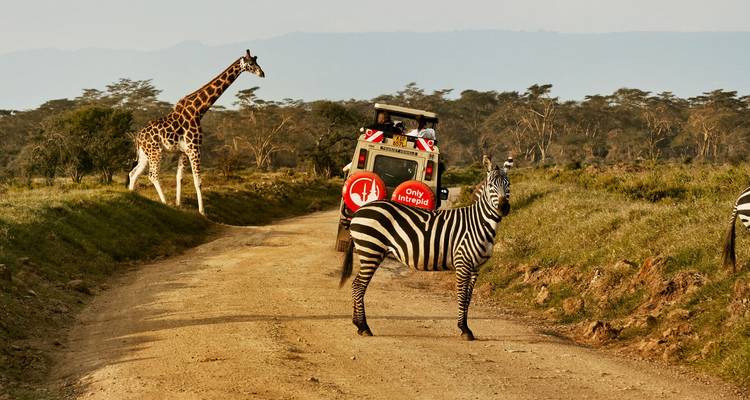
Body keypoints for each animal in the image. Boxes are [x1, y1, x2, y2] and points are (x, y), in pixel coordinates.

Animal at [126, 49, 265, 215]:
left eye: (257, 61)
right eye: (251, 63)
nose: (262, 73)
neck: (198, 110)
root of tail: (138, 138)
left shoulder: (184, 151)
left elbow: (179, 177)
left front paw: (179, 204)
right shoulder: (194, 148)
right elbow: (197, 180)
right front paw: (202, 211)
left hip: (145, 154)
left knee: (133, 173)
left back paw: (133, 196)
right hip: (156, 152)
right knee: (152, 175)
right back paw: (164, 203)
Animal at [339, 156, 510, 340]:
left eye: (508, 184)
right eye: (491, 185)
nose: (504, 208)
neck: (479, 223)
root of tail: (360, 211)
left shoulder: (476, 268)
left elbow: (468, 298)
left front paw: (466, 328)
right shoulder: (463, 262)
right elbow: (462, 296)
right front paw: (464, 329)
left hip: (371, 251)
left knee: (356, 284)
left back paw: (358, 325)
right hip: (371, 250)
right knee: (358, 285)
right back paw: (364, 327)